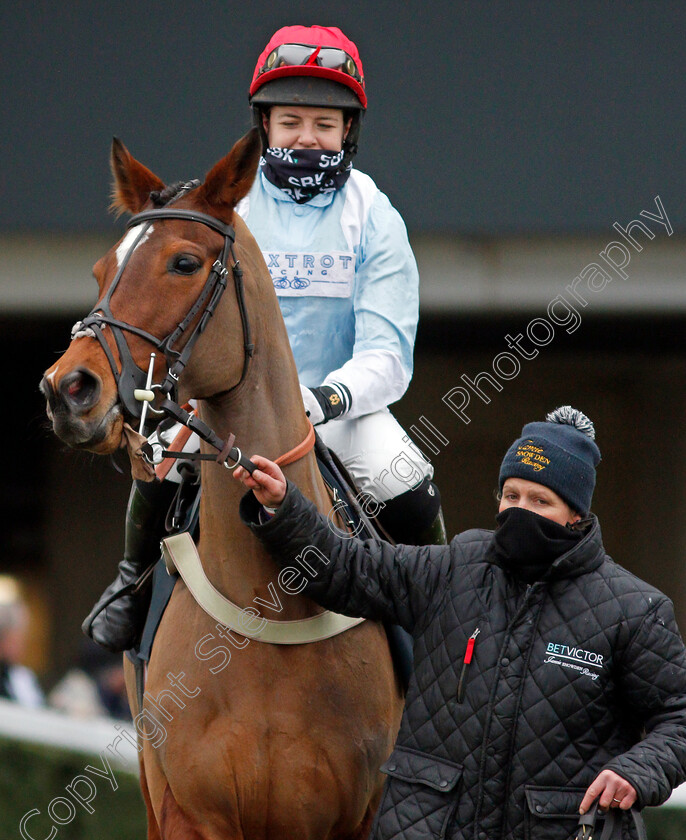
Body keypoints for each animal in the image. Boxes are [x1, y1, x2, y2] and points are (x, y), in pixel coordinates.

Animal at [40, 131, 406, 840]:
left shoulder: (355, 813)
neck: (271, 602)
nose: (68, 389)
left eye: (184, 263)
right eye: (100, 270)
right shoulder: (190, 809)